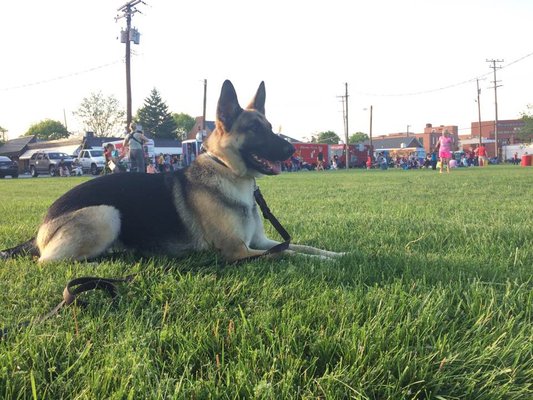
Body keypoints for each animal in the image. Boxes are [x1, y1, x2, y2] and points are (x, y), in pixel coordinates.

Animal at [2, 80, 342, 262]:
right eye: (255, 130)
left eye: (270, 127)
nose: (292, 152)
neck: (228, 173)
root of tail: (40, 230)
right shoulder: (239, 251)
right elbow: (289, 253)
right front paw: (325, 262)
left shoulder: (260, 242)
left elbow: (301, 246)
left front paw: (336, 255)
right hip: (106, 213)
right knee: (49, 262)